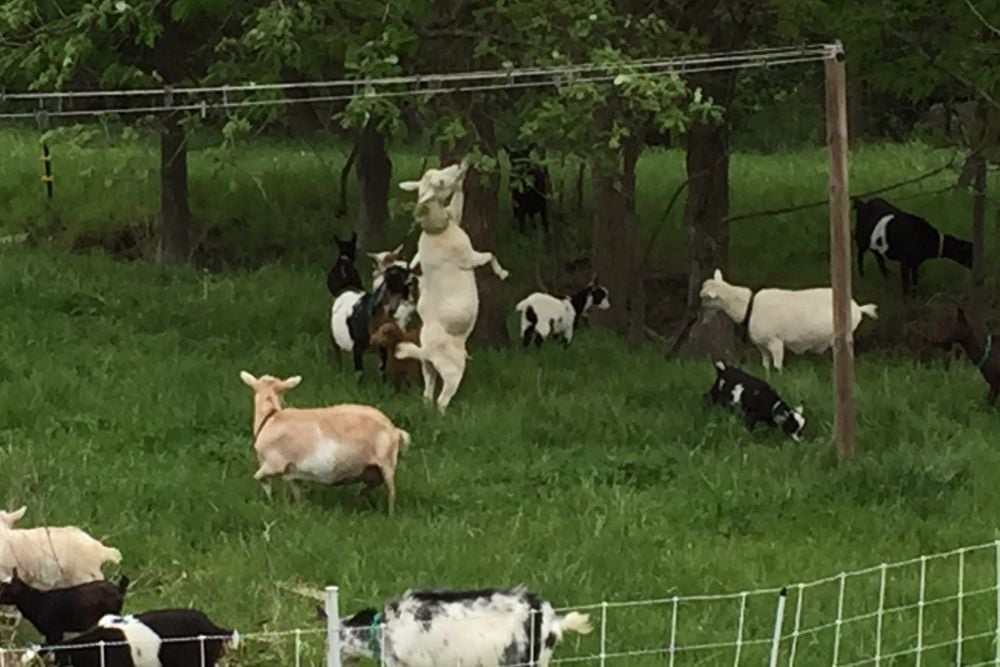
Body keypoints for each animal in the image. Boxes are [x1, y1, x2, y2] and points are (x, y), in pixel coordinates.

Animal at [239, 371, 410, 514]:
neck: (270, 417)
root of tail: (394, 430)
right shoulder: (292, 471)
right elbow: (296, 491)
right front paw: (299, 509)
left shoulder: (273, 464)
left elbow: (259, 478)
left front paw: (270, 500)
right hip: (373, 469)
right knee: (373, 486)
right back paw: (356, 501)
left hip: (386, 462)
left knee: (391, 493)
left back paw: (389, 515)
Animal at [396, 159, 510, 413]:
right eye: (440, 182)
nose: (461, 163)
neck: (438, 231)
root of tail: (426, 350)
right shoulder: (469, 257)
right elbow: (490, 255)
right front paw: (502, 273)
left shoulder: (454, 216)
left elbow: (458, 204)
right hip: (452, 371)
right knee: (442, 399)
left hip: (427, 366)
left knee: (428, 394)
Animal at [699, 269, 878, 372]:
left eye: (704, 298)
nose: (700, 316)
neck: (748, 306)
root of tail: (858, 308)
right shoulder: (762, 346)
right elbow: (766, 367)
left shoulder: (775, 342)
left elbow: (778, 367)